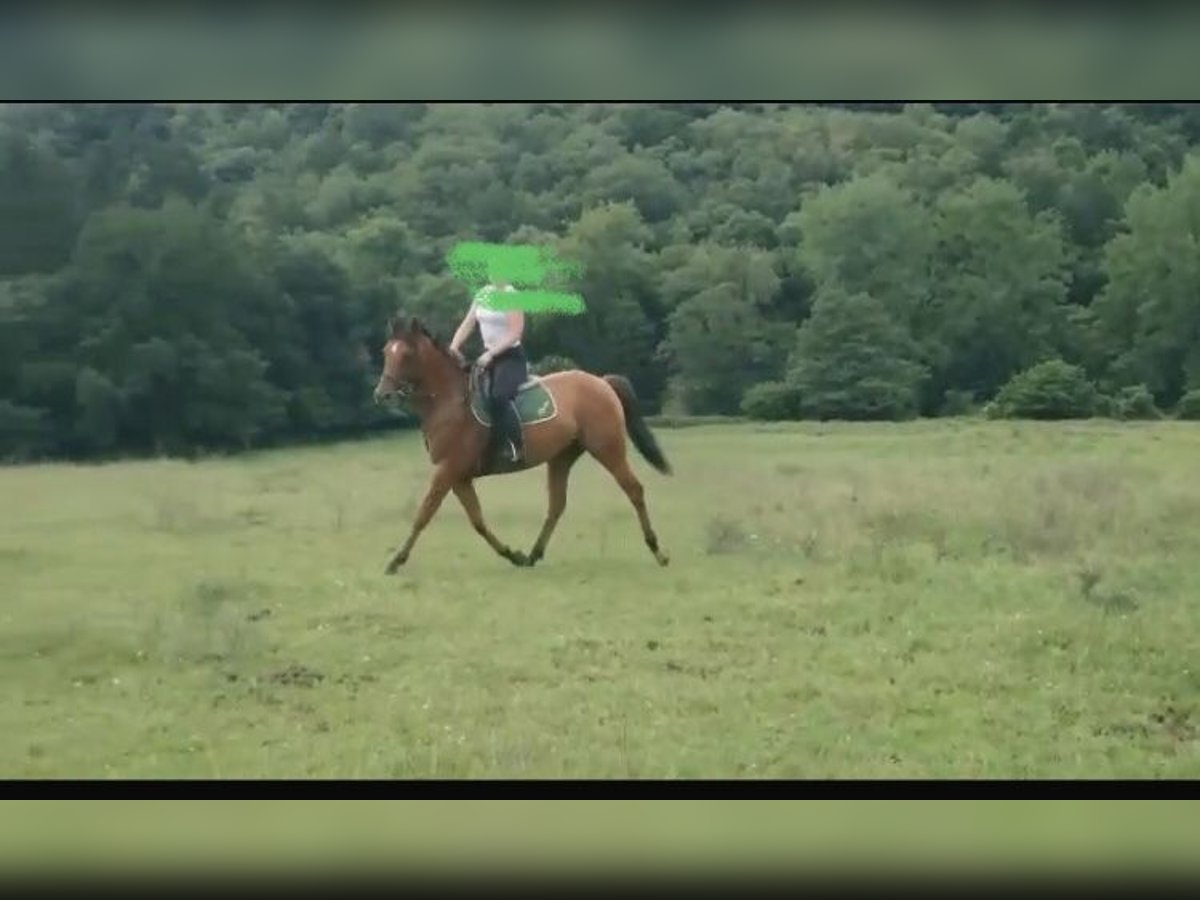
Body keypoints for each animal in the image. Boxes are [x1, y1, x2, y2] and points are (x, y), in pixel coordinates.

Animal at [372, 314, 676, 573]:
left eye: (407, 354)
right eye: (386, 352)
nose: (382, 395)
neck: (450, 402)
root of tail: (601, 381)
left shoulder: (447, 471)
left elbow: (424, 513)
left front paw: (395, 561)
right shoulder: (458, 477)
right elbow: (477, 521)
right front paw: (512, 554)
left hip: (608, 449)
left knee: (634, 490)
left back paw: (658, 551)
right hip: (562, 456)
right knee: (556, 505)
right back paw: (532, 555)